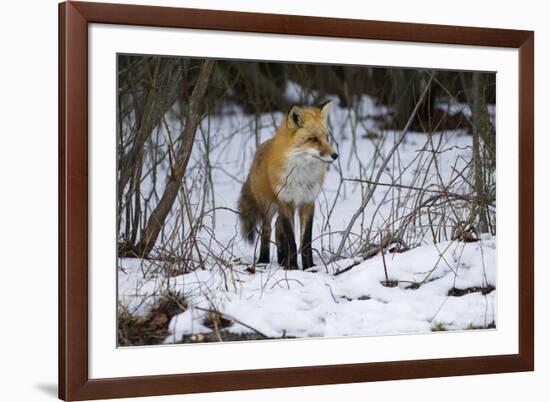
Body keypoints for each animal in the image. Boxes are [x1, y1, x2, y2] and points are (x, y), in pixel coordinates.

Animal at [238, 101, 338, 270]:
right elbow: (292, 240)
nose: (335, 155)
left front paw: (309, 267)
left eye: (327, 137)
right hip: (269, 207)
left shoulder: (308, 202)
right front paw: (294, 268)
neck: (300, 176)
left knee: (278, 229)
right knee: (267, 231)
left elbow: (306, 242)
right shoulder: (285, 201)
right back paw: (264, 260)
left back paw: (282, 260)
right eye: (313, 139)